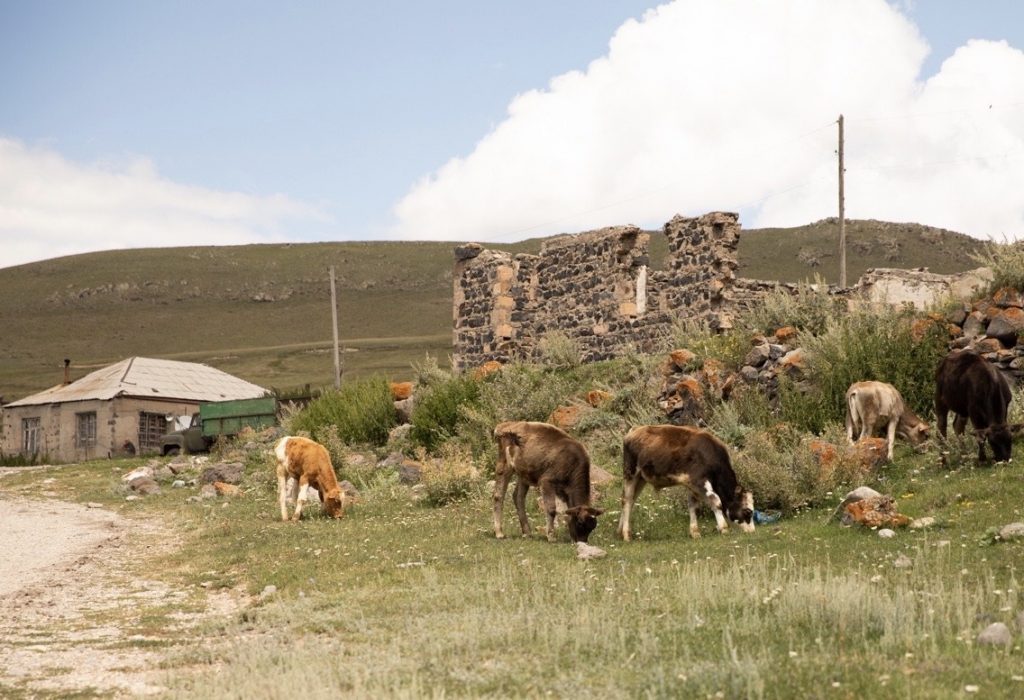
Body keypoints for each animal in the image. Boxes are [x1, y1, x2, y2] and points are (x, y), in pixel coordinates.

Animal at [614, 421, 753, 540]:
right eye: (748, 511)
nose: (752, 531)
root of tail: (635, 430)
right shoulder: (699, 480)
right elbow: (716, 501)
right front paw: (724, 529)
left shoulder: (692, 484)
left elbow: (693, 505)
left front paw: (695, 532)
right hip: (630, 473)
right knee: (626, 500)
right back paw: (626, 535)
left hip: (641, 478)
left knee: (631, 500)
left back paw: (620, 532)